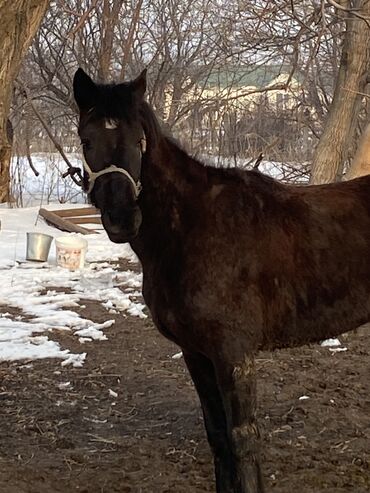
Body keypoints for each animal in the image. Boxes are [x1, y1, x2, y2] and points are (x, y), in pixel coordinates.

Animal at [73, 68, 370, 492]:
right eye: (87, 139)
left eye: (138, 140)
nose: (121, 217)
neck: (192, 227)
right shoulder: (196, 352)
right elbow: (217, 436)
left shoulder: (234, 352)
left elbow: (242, 438)